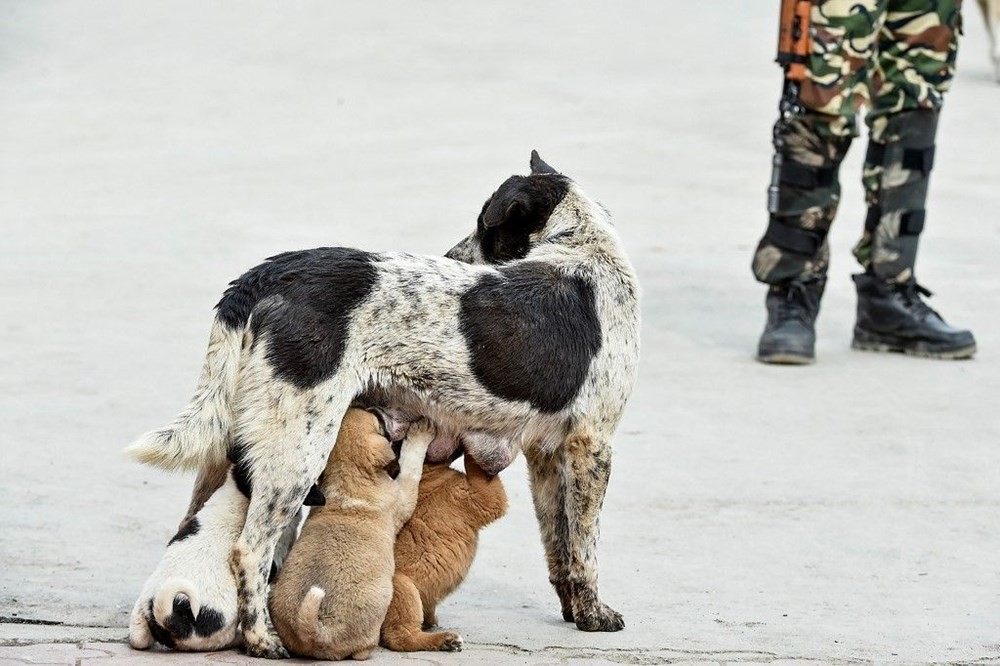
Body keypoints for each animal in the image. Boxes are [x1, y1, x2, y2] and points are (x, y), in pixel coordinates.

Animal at [270, 408, 434, 656]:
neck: (348, 476)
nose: (376, 407)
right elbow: (411, 466)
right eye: (378, 421)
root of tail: (316, 631)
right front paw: (419, 435)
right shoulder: (403, 497)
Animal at [382, 452, 508, 648]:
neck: (427, 473)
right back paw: (446, 640)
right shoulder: (479, 495)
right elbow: (476, 470)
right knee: (400, 637)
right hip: (403, 586)